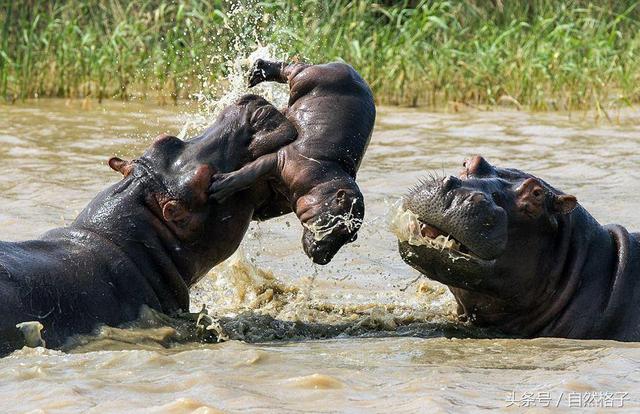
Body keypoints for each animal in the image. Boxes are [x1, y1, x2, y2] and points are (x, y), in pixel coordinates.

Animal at [210, 59, 376, 266]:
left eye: (351, 237)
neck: (326, 181)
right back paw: (256, 72)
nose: (324, 259)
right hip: (304, 77)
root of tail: (343, 64)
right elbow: (249, 172)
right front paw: (218, 187)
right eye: (340, 224)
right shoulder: (281, 159)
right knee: (291, 67)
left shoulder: (286, 197)